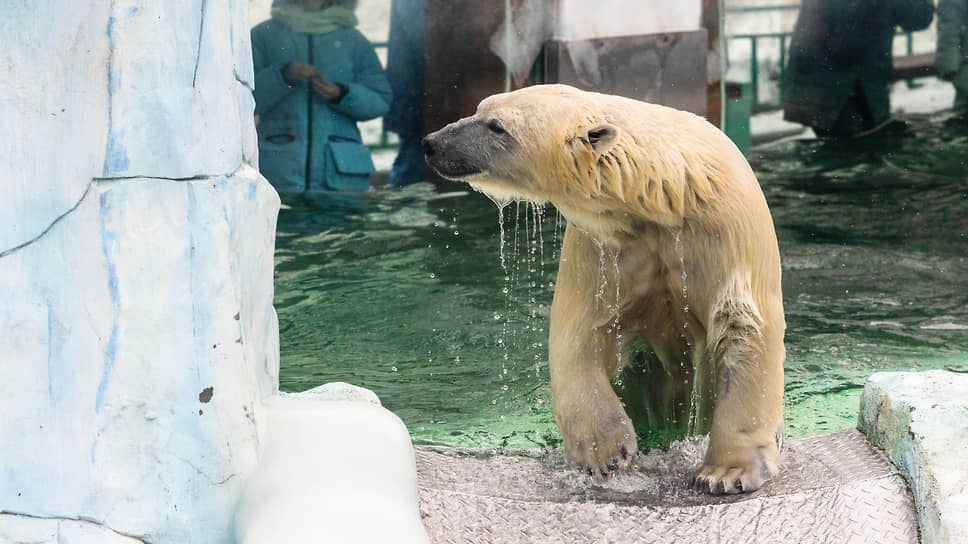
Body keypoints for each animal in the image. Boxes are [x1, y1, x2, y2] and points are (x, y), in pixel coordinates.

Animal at [424, 84, 788, 492]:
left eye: (497, 126)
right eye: (480, 107)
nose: (431, 143)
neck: (664, 194)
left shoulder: (725, 232)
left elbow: (741, 327)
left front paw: (726, 473)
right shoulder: (603, 248)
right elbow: (582, 333)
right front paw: (605, 454)